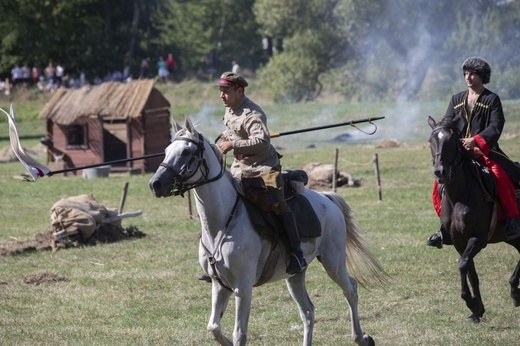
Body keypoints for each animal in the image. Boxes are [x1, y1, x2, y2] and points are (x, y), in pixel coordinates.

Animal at [149, 119, 386, 346]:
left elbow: (239, 334)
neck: (220, 225)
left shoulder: (243, 287)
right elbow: (213, 328)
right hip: (295, 276)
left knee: (351, 289)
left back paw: (362, 338)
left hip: (333, 262)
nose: (155, 184)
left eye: (186, 151)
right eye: (167, 150)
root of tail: (327, 198)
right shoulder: (219, 285)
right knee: (308, 312)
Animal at [426, 115, 520, 322]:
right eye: (430, 141)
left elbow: (462, 265)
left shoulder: (477, 239)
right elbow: (470, 272)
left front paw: (471, 302)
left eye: (452, 140)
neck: (460, 196)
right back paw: (514, 291)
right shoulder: (459, 241)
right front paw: (477, 310)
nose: (440, 172)